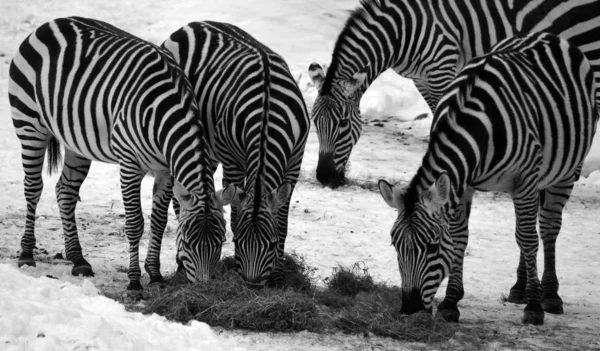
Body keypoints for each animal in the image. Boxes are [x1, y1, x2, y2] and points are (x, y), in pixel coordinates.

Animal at [9, 16, 236, 290]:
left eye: (220, 241)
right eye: (188, 241)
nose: (204, 287)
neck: (165, 113)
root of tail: (48, 24)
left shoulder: (165, 170)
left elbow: (159, 222)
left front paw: (155, 274)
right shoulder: (129, 163)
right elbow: (135, 223)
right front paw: (135, 281)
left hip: (76, 142)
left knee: (65, 192)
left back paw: (78, 259)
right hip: (29, 124)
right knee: (33, 188)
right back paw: (26, 254)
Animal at [162, 21, 310, 286]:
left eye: (271, 245)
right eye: (238, 242)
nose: (252, 284)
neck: (266, 114)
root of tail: (193, 24)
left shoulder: (295, 159)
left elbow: (282, 222)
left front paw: (279, 275)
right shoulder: (232, 160)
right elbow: (235, 216)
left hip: (208, 149)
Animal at [380, 31, 600, 326]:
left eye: (432, 246)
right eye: (395, 245)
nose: (409, 308)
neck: (473, 128)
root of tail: (547, 34)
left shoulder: (524, 180)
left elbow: (528, 238)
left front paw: (534, 307)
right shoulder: (463, 186)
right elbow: (461, 238)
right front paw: (450, 303)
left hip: (564, 172)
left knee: (546, 228)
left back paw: (550, 295)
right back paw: (519, 288)